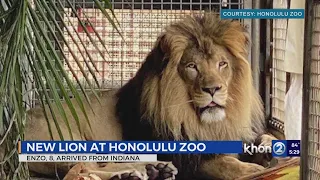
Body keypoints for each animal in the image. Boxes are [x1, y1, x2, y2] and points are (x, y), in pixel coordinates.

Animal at [5, 12, 276, 180]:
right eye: (192, 67)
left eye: (222, 64)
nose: (213, 89)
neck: (205, 123)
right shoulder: (186, 156)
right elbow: (222, 163)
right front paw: (251, 169)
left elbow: (262, 138)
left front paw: (268, 147)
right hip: (65, 139)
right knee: (84, 168)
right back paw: (134, 173)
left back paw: (153, 170)